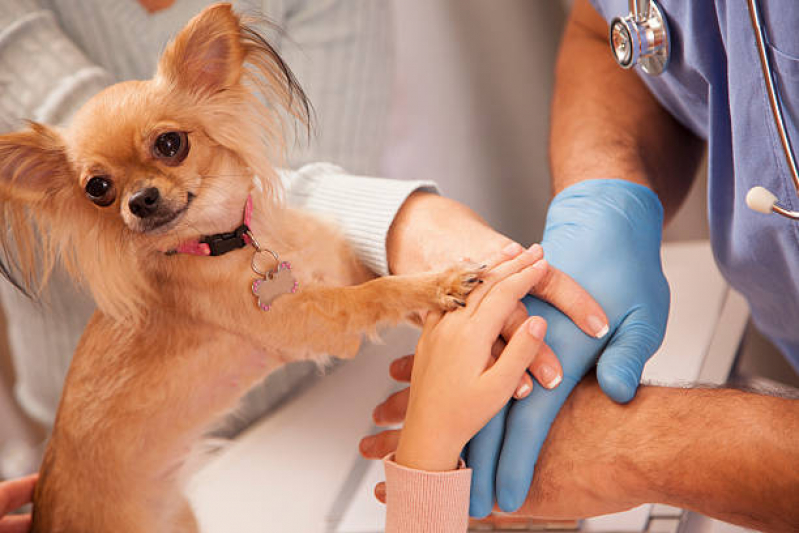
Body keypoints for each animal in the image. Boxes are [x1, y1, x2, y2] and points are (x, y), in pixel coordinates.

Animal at [0, 5, 484, 532]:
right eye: (97, 189)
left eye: (170, 144)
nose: (140, 200)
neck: (230, 241)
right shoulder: (317, 323)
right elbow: (377, 295)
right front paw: (438, 285)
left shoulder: (333, 266)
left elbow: (374, 279)